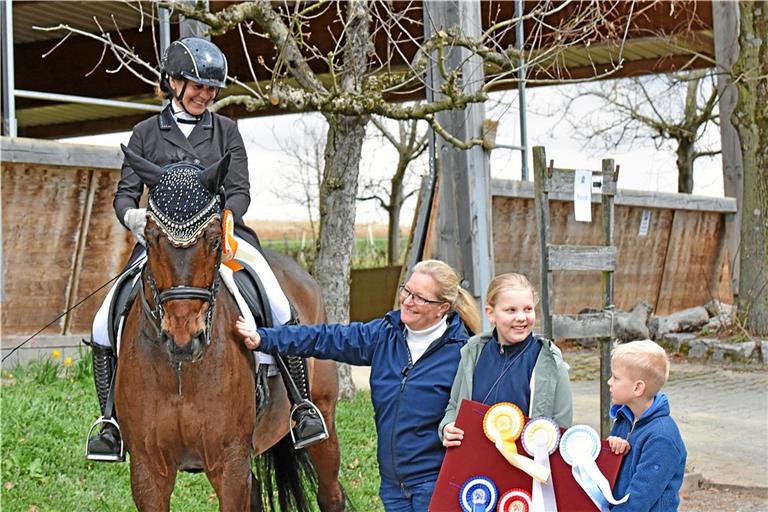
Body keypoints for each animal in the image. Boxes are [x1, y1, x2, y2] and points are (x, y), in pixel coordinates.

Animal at [112, 146, 344, 510]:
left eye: (212, 239)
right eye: (150, 238)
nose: (184, 341)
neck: (181, 373)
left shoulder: (230, 463)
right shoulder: (148, 468)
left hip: (324, 415)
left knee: (331, 493)